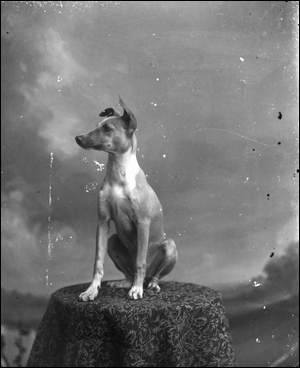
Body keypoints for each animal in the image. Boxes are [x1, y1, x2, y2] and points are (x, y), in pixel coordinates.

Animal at [75, 95, 178, 300]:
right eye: (97, 125)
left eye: (107, 128)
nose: (78, 138)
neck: (118, 175)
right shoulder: (103, 222)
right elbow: (98, 262)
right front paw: (91, 290)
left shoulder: (142, 222)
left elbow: (140, 261)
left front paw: (137, 290)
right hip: (113, 241)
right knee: (129, 273)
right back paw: (125, 282)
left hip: (170, 245)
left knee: (154, 274)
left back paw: (149, 285)